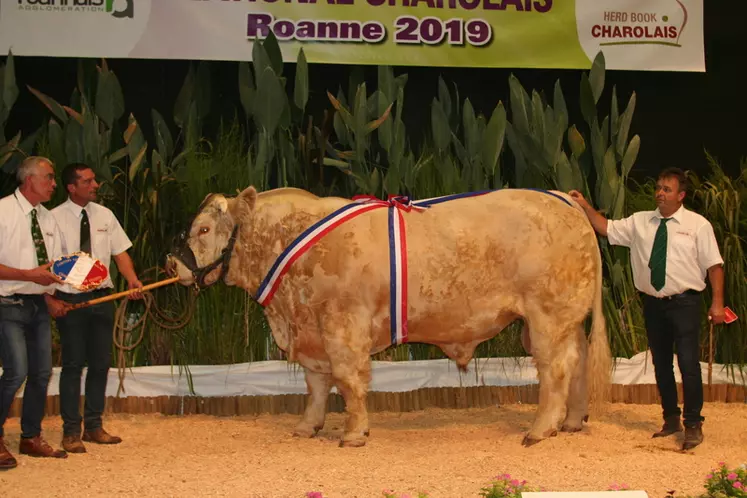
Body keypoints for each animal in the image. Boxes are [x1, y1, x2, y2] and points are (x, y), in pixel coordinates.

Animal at [167, 186, 612, 448]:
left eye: (203, 229)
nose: (173, 263)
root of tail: (564, 198)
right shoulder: (312, 330)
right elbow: (316, 384)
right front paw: (307, 427)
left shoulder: (342, 325)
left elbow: (347, 380)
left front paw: (354, 433)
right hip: (562, 319)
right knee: (577, 361)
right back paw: (572, 421)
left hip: (547, 315)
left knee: (556, 367)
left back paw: (540, 429)